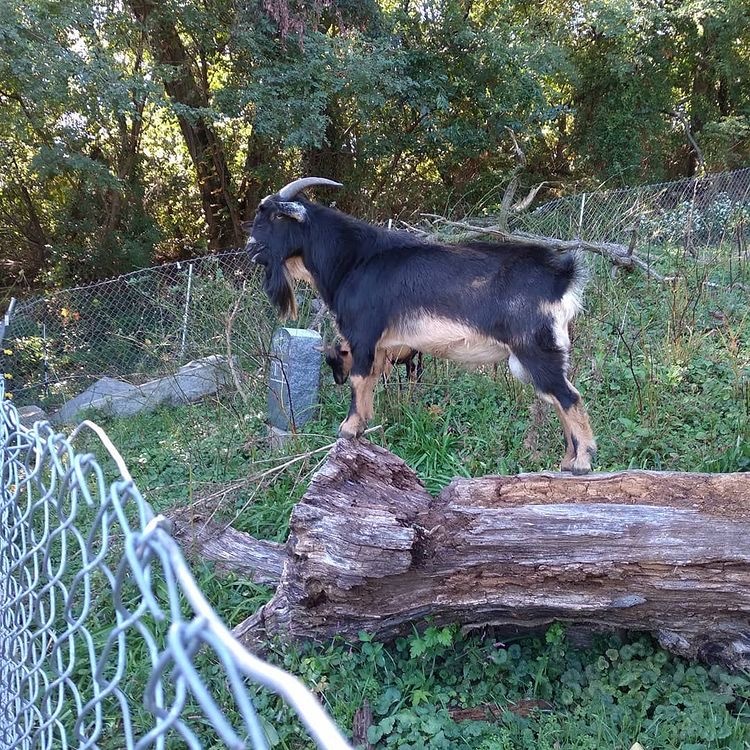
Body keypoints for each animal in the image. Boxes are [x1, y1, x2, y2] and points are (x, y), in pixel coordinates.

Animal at [245, 177, 597, 474]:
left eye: (275, 217)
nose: (250, 248)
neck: (353, 260)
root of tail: (562, 277)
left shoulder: (363, 334)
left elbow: (358, 380)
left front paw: (347, 429)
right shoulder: (381, 347)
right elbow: (370, 381)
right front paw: (363, 426)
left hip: (535, 349)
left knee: (568, 397)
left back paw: (581, 461)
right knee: (558, 396)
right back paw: (567, 461)